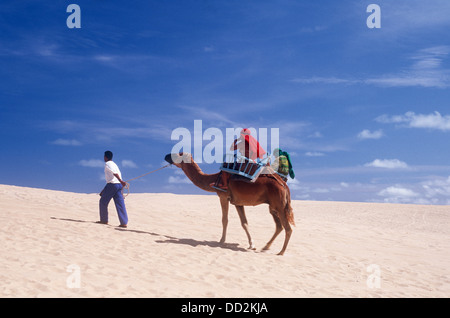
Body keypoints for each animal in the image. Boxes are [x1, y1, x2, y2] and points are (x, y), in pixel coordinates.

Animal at [163, 153, 296, 255]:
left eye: (178, 154)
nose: (166, 156)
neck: (213, 179)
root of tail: (284, 185)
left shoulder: (223, 196)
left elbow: (225, 219)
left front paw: (221, 241)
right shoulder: (238, 203)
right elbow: (244, 223)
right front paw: (252, 245)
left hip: (279, 205)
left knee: (288, 228)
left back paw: (281, 252)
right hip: (273, 206)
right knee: (279, 226)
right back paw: (266, 247)